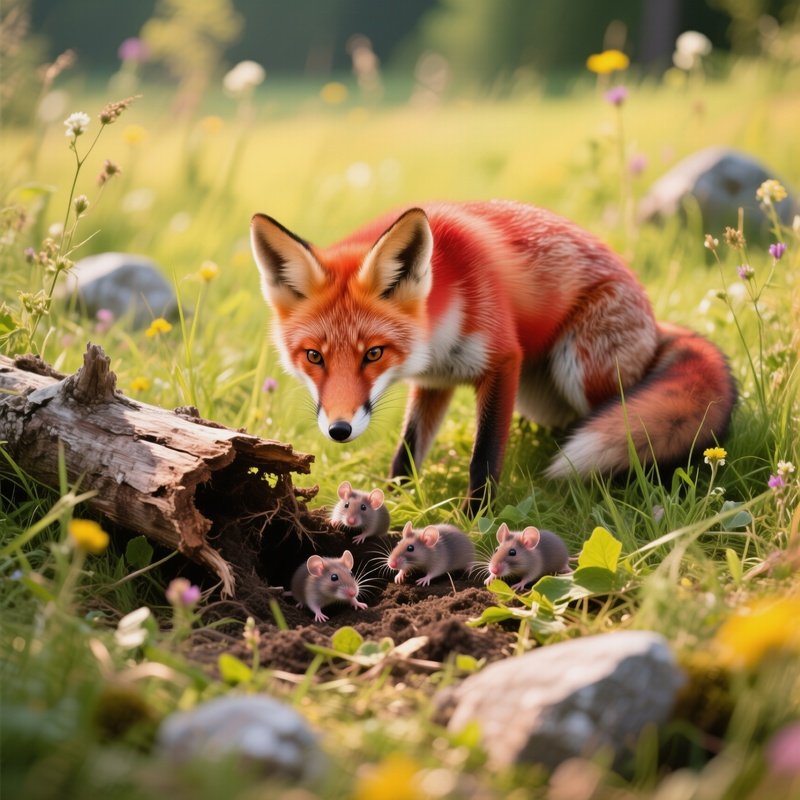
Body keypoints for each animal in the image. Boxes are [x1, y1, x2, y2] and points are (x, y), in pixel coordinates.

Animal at [250, 200, 736, 511]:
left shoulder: (503, 360)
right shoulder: (435, 382)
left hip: (579, 367)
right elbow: (408, 449)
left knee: (624, 419)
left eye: (373, 354)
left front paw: (475, 521)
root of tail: (657, 325)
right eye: (314, 356)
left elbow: (483, 456)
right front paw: (393, 499)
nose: (339, 430)